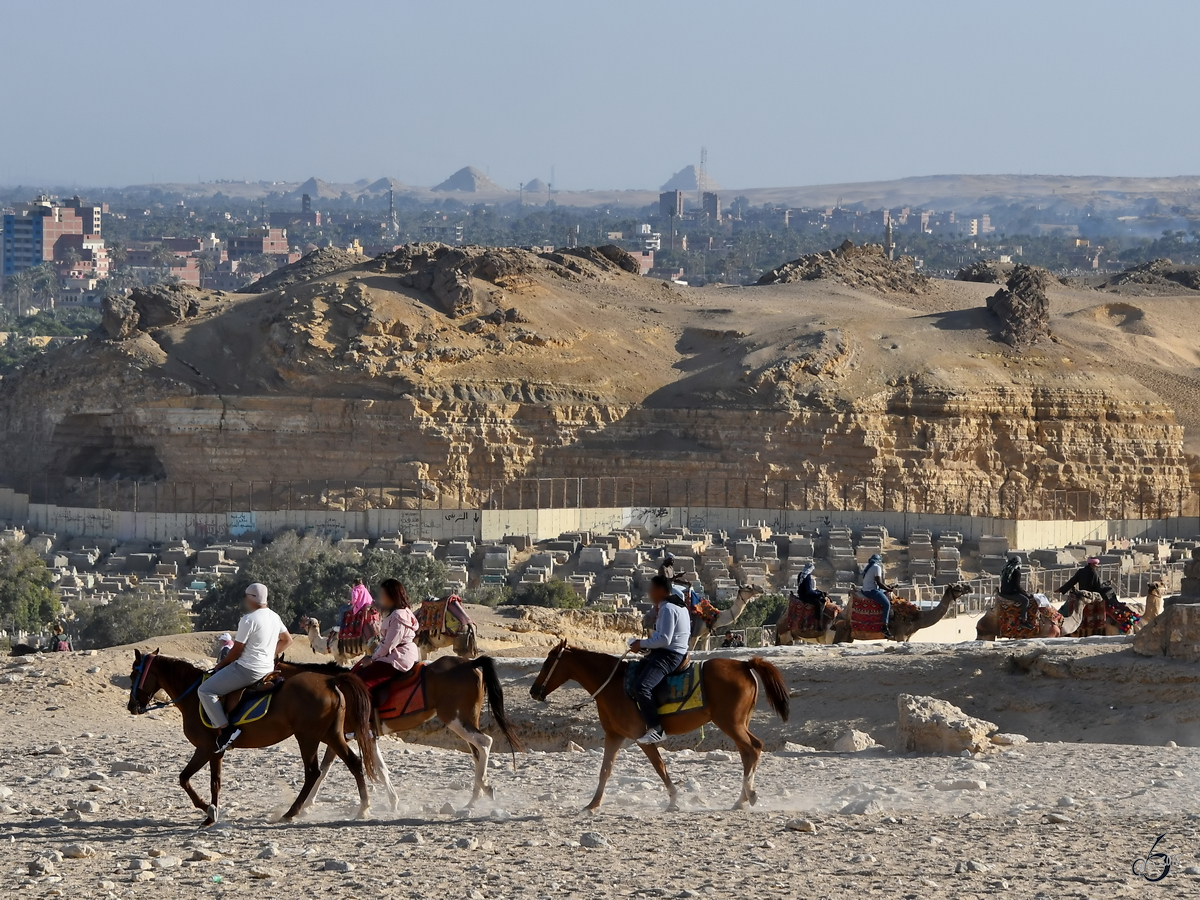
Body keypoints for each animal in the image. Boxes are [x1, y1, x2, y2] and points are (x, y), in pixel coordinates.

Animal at [129, 648, 376, 830]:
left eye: (133, 675)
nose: (132, 706)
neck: (193, 695)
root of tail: (329, 682)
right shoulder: (216, 751)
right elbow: (210, 781)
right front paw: (211, 812)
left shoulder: (206, 748)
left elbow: (188, 779)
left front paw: (208, 811)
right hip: (331, 735)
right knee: (354, 763)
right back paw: (363, 808)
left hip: (308, 737)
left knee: (313, 772)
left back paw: (291, 813)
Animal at [283, 657, 528, 811]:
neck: (335, 687)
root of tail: (471, 663)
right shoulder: (344, 736)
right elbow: (327, 768)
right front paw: (307, 804)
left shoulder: (358, 735)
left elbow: (373, 769)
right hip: (467, 720)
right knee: (477, 752)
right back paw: (478, 795)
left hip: (456, 720)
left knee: (485, 742)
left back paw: (481, 790)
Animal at [530, 643, 792, 816]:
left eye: (548, 662)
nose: (534, 691)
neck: (613, 684)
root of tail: (744, 665)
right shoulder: (614, 735)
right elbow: (605, 770)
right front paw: (592, 805)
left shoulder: (640, 737)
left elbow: (659, 766)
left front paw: (674, 800)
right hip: (737, 724)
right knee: (749, 752)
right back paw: (741, 800)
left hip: (731, 724)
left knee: (753, 749)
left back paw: (750, 795)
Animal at [835, 580, 974, 643]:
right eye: (958, 587)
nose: (970, 587)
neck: (918, 618)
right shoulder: (900, 635)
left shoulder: (907, 637)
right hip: (842, 631)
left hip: (848, 635)